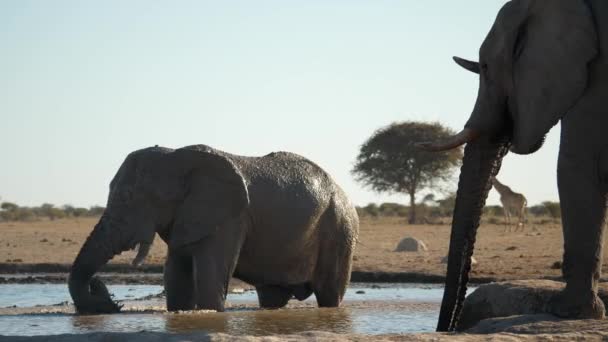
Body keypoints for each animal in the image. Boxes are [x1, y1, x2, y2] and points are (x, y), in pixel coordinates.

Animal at [69, 143, 358, 314]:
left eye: (128, 197)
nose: (109, 300)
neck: (177, 156)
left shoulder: (230, 217)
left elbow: (210, 277)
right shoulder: (187, 216)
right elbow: (176, 275)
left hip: (340, 230)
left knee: (330, 293)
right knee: (272, 296)